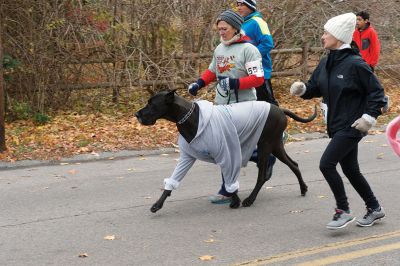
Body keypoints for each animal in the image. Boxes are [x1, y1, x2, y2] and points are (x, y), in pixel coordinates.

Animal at [136, 90, 318, 213]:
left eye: (152, 104)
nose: (136, 114)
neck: (189, 117)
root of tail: (280, 109)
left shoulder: (225, 153)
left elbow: (230, 181)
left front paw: (235, 201)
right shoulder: (187, 158)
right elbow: (172, 181)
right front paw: (157, 204)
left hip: (266, 145)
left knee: (262, 176)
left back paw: (250, 199)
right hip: (275, 145)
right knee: (294, 164)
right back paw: (303, 188)